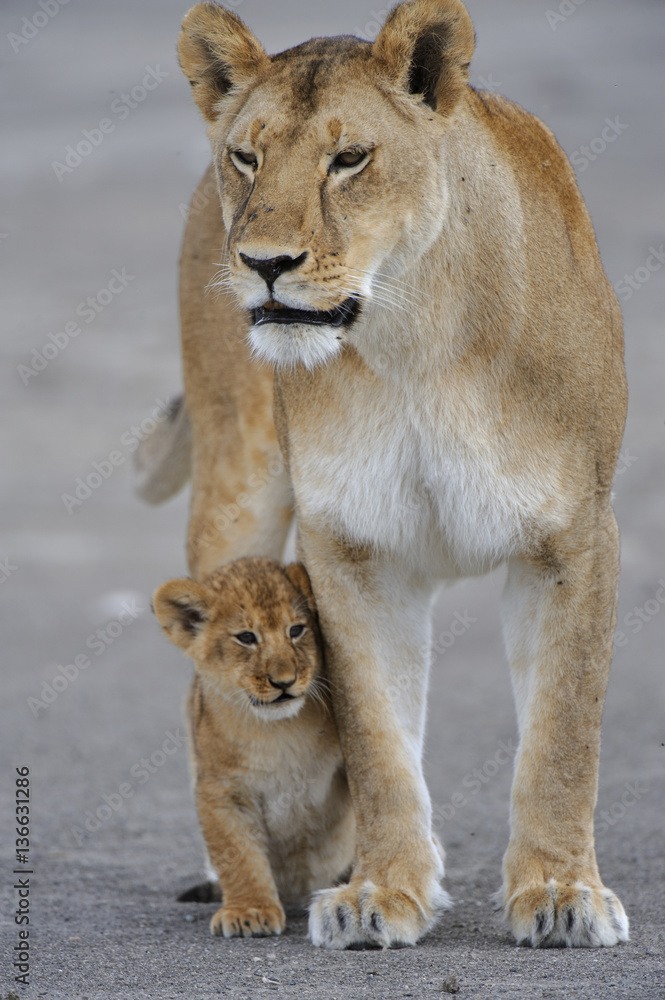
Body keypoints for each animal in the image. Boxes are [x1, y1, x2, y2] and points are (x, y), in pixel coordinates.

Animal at [153, 557, 355, 937]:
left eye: (296, 630)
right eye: (247, 637)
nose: (284, 681)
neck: (277, 732)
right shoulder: (222, 791)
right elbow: (238, 855)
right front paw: (249, 911)